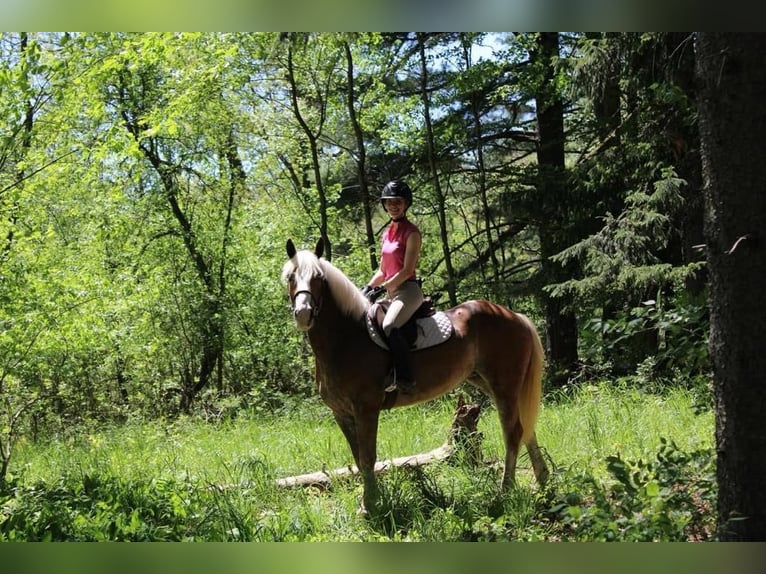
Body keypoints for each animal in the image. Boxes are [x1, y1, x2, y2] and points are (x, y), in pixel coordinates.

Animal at [282, 236, 552, 516]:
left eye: (318, 278)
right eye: (291, 277)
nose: (303, 313)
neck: (345, 338)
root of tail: (514, 316)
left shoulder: (366, 408)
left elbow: (367, 458)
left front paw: (371, 506)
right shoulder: (342, 412)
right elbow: (358, 459)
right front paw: (369, 502)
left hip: (504, 385)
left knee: (513, 432)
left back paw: (505, 492)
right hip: (487, 382)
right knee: (525, 428)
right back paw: (543, 482)